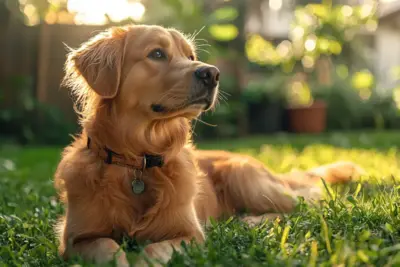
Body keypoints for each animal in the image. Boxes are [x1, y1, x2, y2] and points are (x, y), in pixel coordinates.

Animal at [54, 24, 364, 266]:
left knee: (307, 203)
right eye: (157, 54)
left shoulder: (190, 234)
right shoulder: (74, 239)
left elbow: (155, 249)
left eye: (190, 56)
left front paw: (141, 260)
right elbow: (105, 245)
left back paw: (251, 220)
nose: (212, 74)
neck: (137, 161)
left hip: (245, 176)